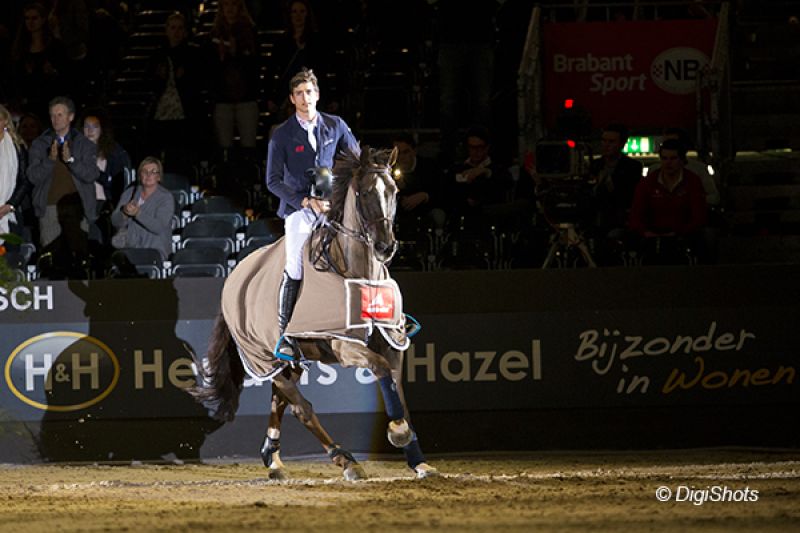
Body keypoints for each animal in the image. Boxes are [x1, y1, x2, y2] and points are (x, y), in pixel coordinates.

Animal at [191, 148, 438, 480]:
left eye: (394, 192)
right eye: (364, 192)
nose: (385, 247)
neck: (358, 274)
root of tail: (234, 278)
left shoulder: (391, 342)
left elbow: (397, 390)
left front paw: (417, 459)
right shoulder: (344, 345)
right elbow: (381, 369)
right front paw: (398, 432)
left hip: (289, 361)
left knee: (280, 399)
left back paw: (273, 458)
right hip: (261, 356)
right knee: (301, 407)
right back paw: (345, 460)